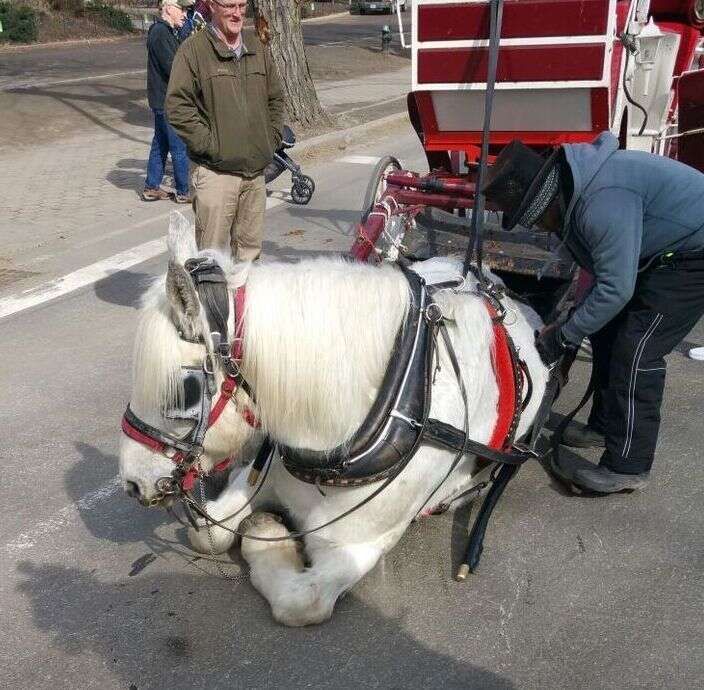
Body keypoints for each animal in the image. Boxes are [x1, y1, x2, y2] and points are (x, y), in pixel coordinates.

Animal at [119, 214, 552, 624]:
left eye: (186, 391)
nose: (132, 483)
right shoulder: (262, 479)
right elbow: (207, 534)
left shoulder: (354, 548)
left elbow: (300, 601)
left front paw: (268, 529)